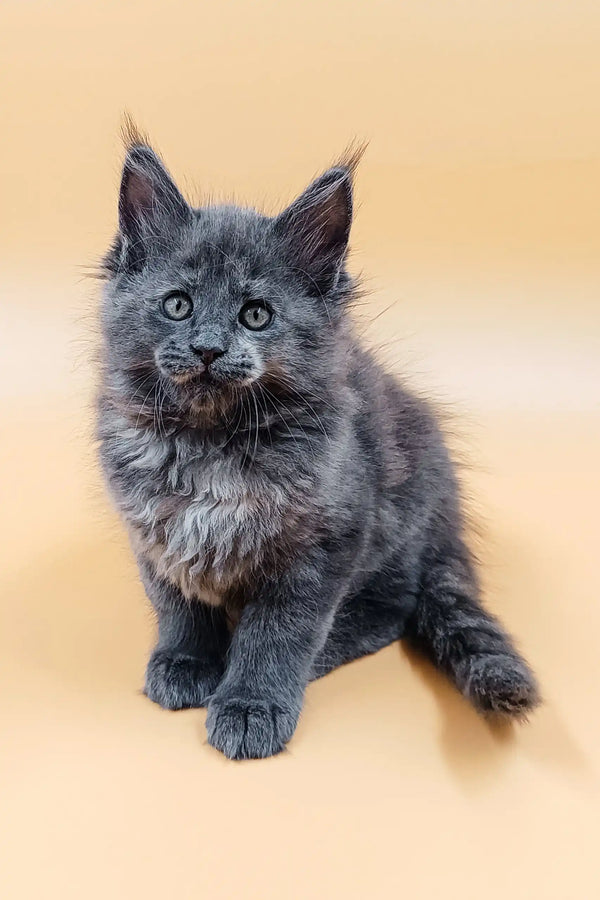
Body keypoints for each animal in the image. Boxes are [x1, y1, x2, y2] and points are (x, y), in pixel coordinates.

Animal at [97, 126, 540, 760]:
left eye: (256, 315)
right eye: (178, 304)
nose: (208, 348)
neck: (211, 444)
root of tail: (447, 516)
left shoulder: (326, 539)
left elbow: (279, 633)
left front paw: (251, 704)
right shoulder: (155, 530)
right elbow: (179, 606)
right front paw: (186, 661)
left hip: (393, 527)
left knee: (394, 608)